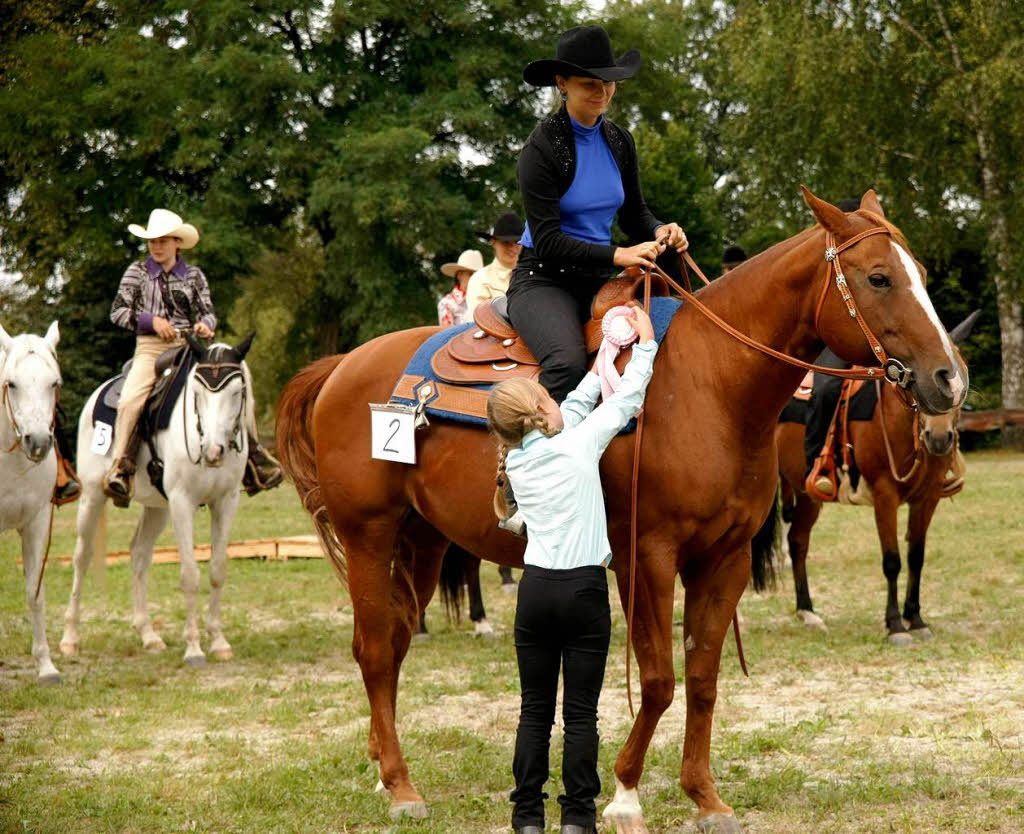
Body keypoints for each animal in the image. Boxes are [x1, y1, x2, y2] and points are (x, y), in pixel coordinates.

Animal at [60, 334, 256, 668]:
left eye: (237, 391)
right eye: (197, 393)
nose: (212, 451)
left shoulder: (226, 502)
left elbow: (217, 570)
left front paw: (218, 641)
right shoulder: (182, 502)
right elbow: (190, 575)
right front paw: (194, 648)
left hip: (157, 508)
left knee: (139, 553)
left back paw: (148, 635)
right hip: (92, 497)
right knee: (81, 558)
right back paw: (70, 638)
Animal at [778, 313, 970, 647]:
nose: (939, 438)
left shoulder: (927, 498)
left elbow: (916, 557)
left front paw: (916, 619)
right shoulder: (884, 495)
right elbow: (892, 560)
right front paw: (895, 625)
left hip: (806, 495)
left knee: (797, 542)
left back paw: (808, 612)